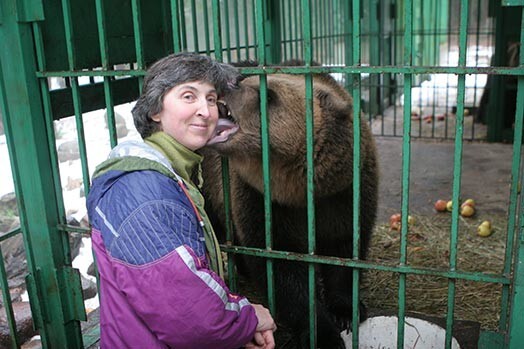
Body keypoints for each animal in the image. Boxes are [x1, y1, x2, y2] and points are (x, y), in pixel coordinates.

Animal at [200, 64, 376, 346]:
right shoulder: (262, 202)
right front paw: (322, 333)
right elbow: (283, 271)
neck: (299, 191)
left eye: (270, 96)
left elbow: (345, 250)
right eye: (247, 79)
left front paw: (346, 311)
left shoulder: (346, 194)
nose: (232, 82)